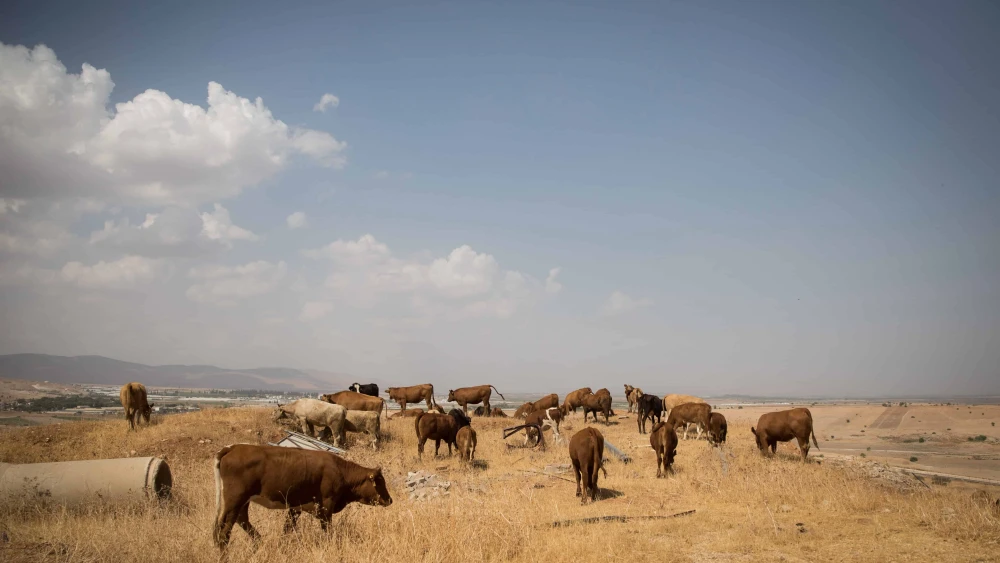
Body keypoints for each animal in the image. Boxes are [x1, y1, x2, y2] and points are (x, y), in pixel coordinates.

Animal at [212, 444, 391, 551]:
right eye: (380, 482)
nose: (390, 500)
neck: (340, 471)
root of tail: (234, 447)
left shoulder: (296, 507)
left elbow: (287, 528)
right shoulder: (326, 505)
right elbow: (327, 529)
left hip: (243, 501)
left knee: (242, 520)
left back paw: (260, 542)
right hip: (235, 500)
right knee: (225, 530)